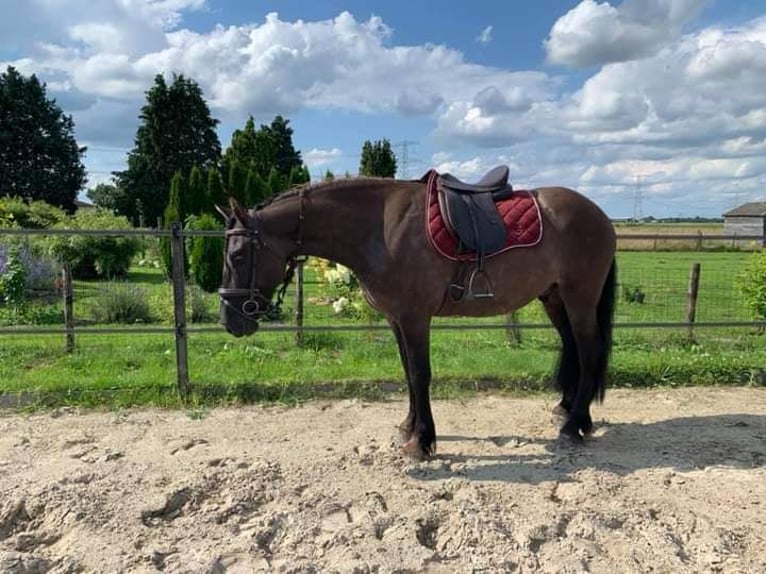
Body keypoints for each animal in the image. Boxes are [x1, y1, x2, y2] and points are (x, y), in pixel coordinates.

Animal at [216, 169, 616, 462]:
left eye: (237, 255)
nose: (230, 320)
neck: (378, 229)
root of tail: (599, 215)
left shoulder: (414, 318)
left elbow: (421, 375)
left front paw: (422, 441)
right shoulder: (397, 319)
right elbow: (408, 374)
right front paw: (409, 427)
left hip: (579, 298)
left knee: (589, 352)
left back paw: (574, 426)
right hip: (554, 298)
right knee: (573, 349)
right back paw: (567, 412)